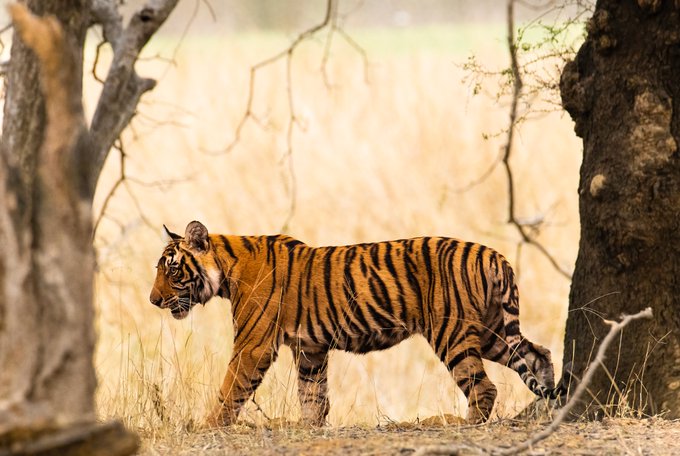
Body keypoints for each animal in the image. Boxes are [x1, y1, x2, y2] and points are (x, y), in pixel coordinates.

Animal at [149, 220, 566, 426]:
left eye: (172, 269)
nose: (153, 300)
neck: (227, 269)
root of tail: (497, 256)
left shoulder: (253, 345)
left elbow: (230, 387)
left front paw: (208, 425)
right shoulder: (310, 349)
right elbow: (312, 396)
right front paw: (309, 428)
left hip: (453, 333)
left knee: (484, 387)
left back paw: (465, 424)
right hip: (492, 330)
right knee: (539, 354)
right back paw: (554, 398)